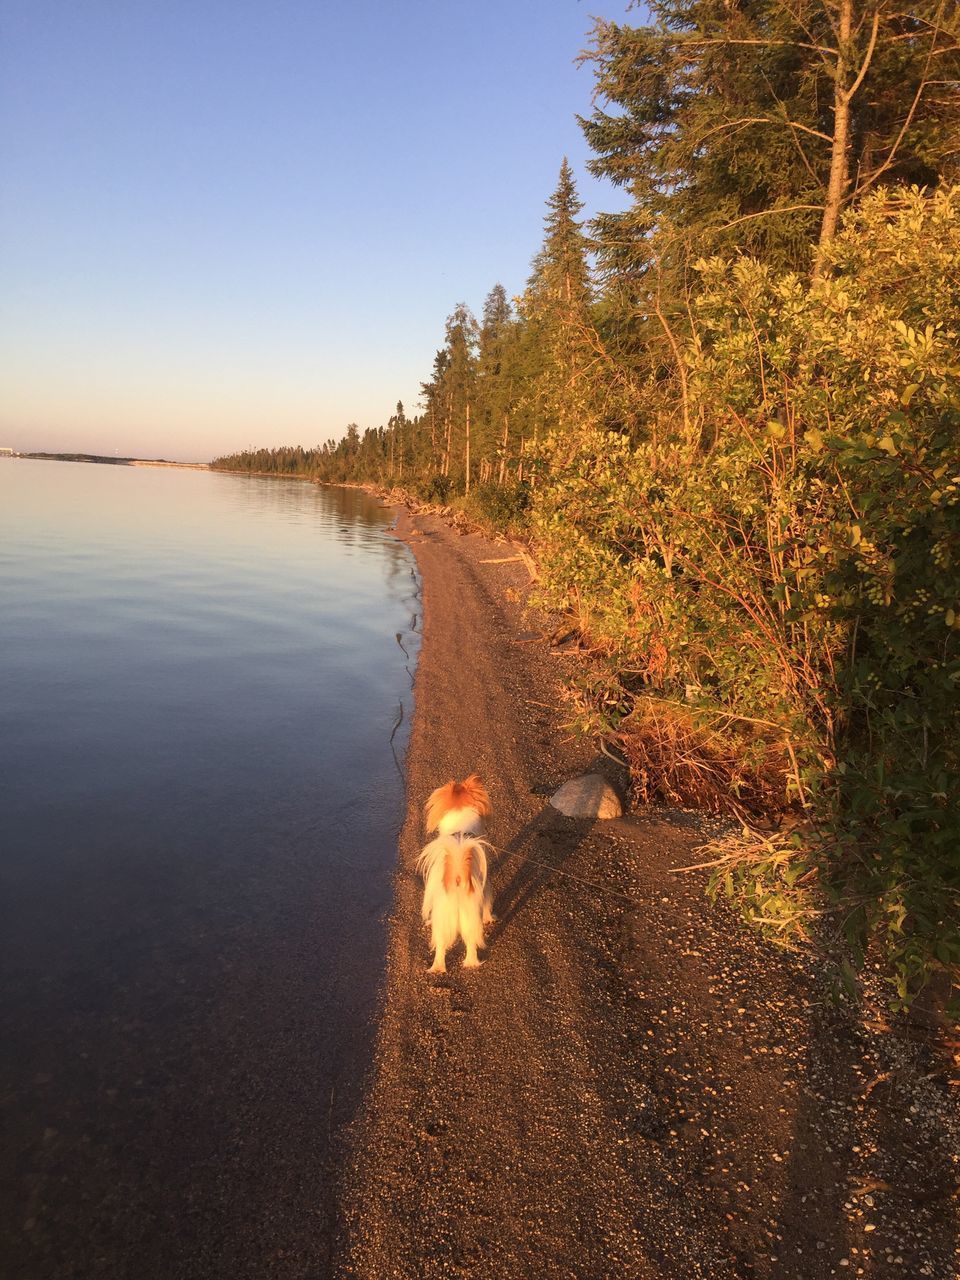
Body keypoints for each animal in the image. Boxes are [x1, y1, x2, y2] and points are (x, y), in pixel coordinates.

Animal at [417, 773, 496, 972]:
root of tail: (458, 876)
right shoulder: (485, 886)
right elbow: (488, 905)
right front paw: (489, 918)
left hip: (445, 918)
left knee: (441, 947)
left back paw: (439, 969)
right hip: (470, 916)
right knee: (470, 944)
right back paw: (471, 964)